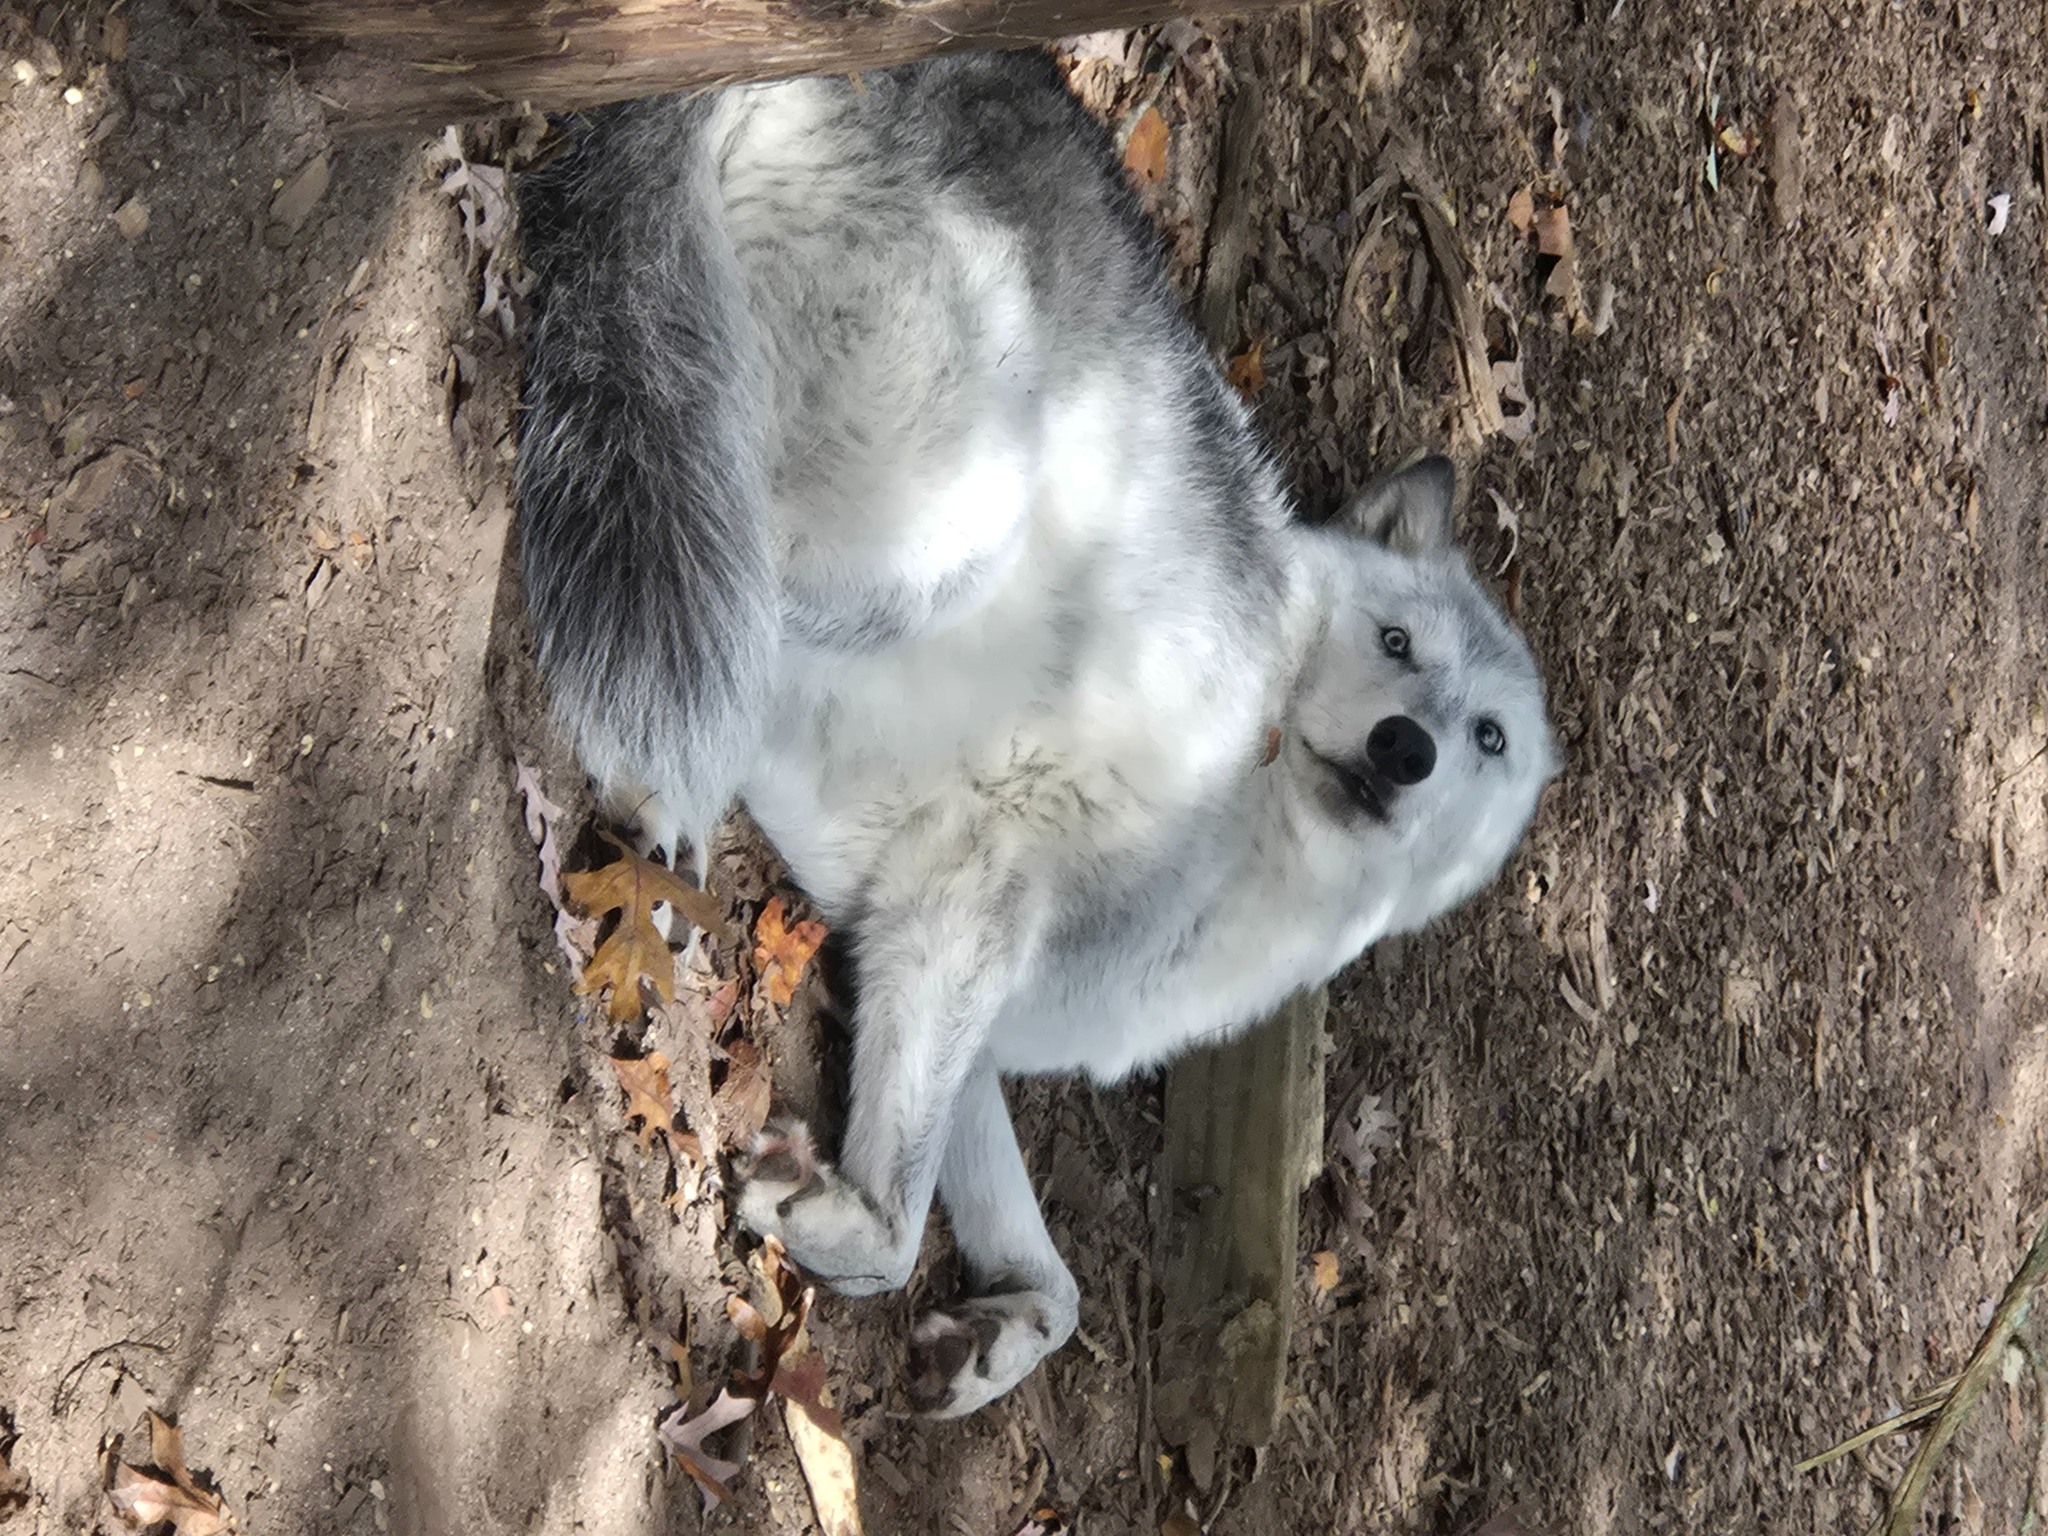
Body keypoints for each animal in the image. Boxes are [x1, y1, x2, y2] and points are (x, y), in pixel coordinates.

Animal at [515, 50, 1557, 1417]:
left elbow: (1053, 1290)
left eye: (1486, 737)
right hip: (934, 536)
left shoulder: (927, 963)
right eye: (1394, 646)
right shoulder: (979, 880)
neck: (1248, 836)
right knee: (712, 565)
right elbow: (899, 1232)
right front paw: (843, 1228)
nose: (1406, 748)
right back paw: (661, 821)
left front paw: (985, 1341)